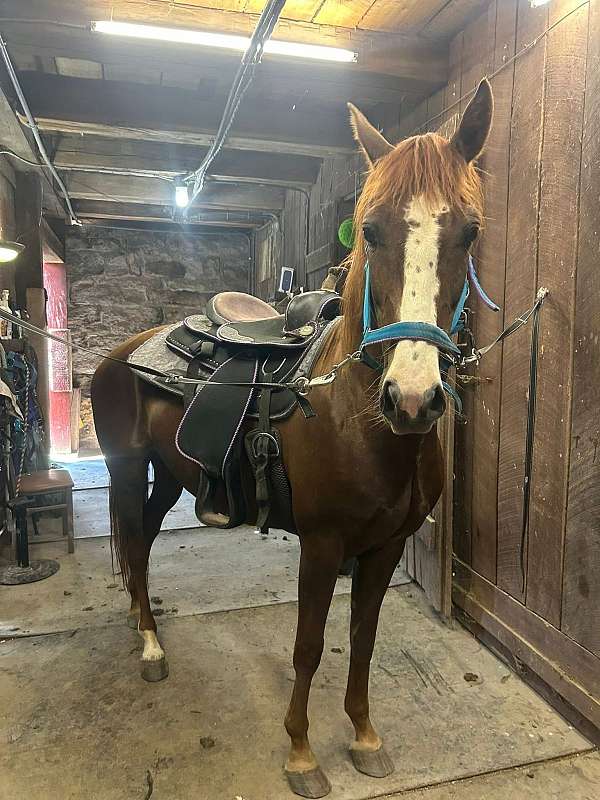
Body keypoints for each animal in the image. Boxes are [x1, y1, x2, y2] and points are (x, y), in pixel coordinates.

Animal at [91, 78, 493, 799]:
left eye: (470, 231)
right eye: (371, 229)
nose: (412, 398)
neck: (354, 417)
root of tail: (125, 349)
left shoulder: (386, 547)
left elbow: (361, 639)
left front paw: (364, 736)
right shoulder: (322, 544)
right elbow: (308, 645)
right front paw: (302, 753)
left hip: (170, 476)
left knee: (142, 542)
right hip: (126, 468)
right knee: (133, 544)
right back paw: (151, 645)